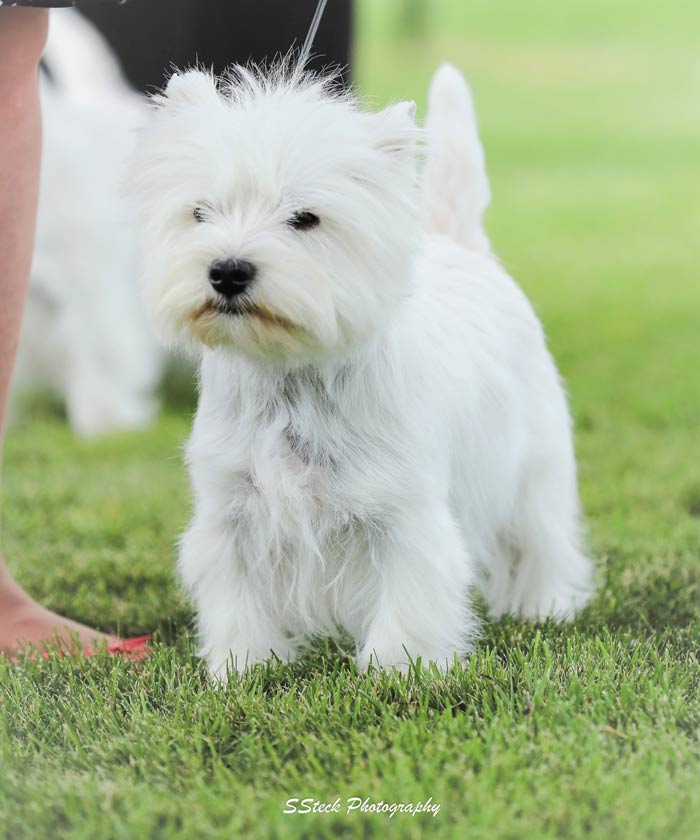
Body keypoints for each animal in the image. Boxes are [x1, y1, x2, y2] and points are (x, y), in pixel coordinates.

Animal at [130, 60, 592, 676]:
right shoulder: (231, 510)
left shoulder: (401, 511)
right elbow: (238, 598)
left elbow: (407, 596)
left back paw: (543, 606)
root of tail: (465, 248)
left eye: (305, 218)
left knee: (540, 535)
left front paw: (397, 671)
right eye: (201, 212)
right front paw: (244, 666)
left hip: (533, 463)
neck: (291, 373)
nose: (227, 271)